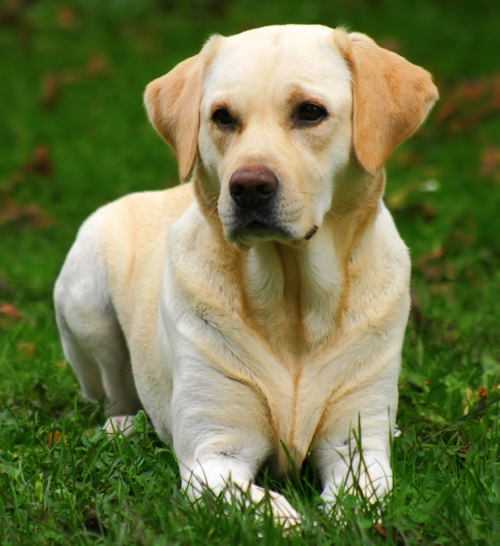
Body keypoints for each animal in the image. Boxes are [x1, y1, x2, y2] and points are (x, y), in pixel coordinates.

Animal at [53, 24, 438, 524]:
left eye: (310, 112)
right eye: (222, 117)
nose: (249, 186)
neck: (293, 303)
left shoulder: (357, 446)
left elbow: (352, 501)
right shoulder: (213, 454)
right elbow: (270, 511)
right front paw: (295, 522)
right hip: (88, 300)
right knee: (113, 397)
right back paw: (123, 426)